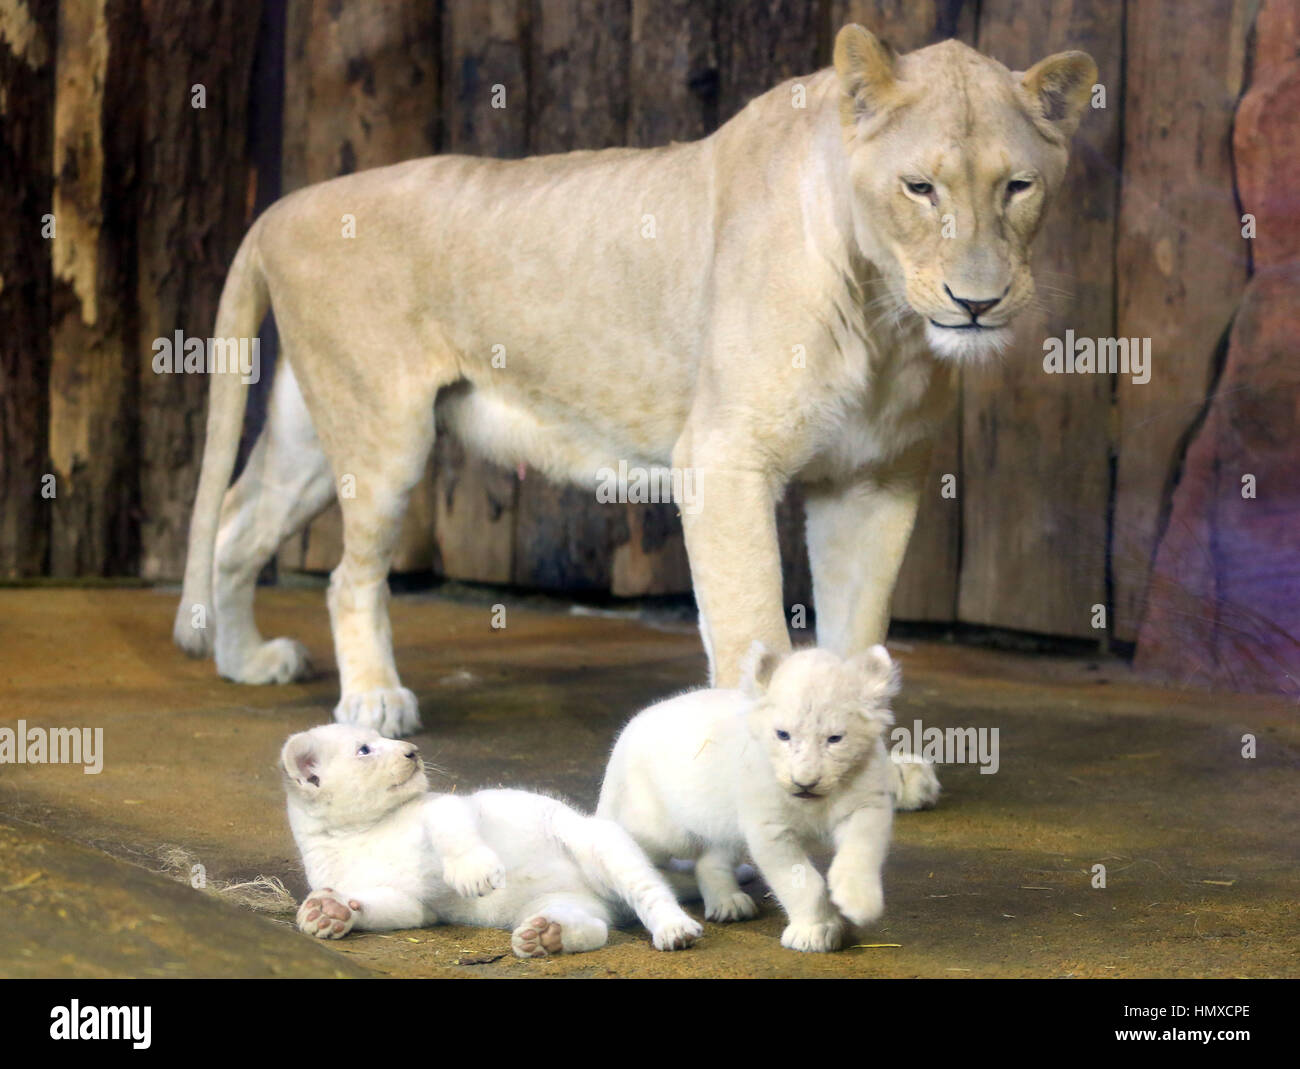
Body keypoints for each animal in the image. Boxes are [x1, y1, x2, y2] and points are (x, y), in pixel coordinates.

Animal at [174, 26, 1096, 736]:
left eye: (1018, 187)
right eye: (920, 187)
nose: (976, 301)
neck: (886, 318)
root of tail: (280, 207)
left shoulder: (875, 478)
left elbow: (857, 628)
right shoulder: (723, 460)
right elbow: (752, 624)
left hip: (313, 426)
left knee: (237, 520)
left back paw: (244, 660)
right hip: (384, 432)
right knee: (346, 576)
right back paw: (372, 701)